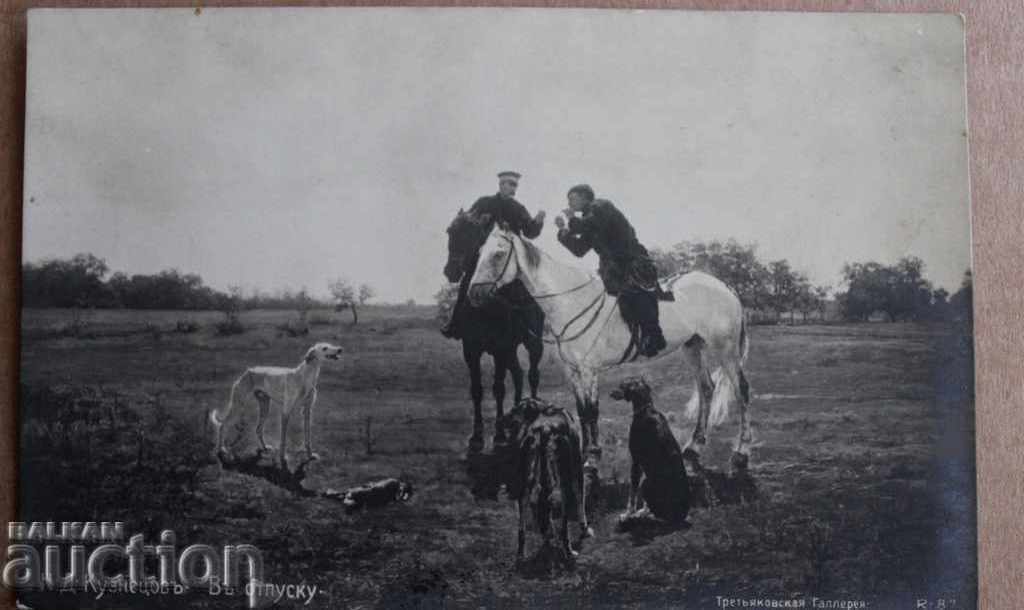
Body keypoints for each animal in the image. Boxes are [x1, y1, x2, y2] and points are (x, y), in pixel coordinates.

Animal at [444, 209, 548, 452]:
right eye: (450, 232)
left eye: (470, 234)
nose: (450, 271)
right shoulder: (471, 350)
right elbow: (477, 390)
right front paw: (476, 437)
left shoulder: (501, 349)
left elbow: (499, 388)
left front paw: (499, 435)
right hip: (510, 352)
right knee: (518, 375)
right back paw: (517, 418)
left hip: (532, 345)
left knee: (532, 375)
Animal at [468, 226, 753, 474]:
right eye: (479, 252)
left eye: (498, 254)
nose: (474, 295)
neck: (570, 302)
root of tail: (724, 287)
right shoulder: (572, 371)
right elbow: (582, 411)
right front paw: (585, 452)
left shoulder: (589, 370)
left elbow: (592, 411)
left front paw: (592, 457)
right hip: (692, 348)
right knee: (706, 389)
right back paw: (694, 447)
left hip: (726, 349)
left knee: (741, 391)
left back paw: (741, 452)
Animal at [610, 376, 692, 524]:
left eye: (621, 385)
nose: (610, 393)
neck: (645, 408)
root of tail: (681, 516)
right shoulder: (643, 464)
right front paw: (640, 511)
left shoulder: (636, 461)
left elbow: (632, 494)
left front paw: (627, 514)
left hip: (647, 483)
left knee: (662, 517)